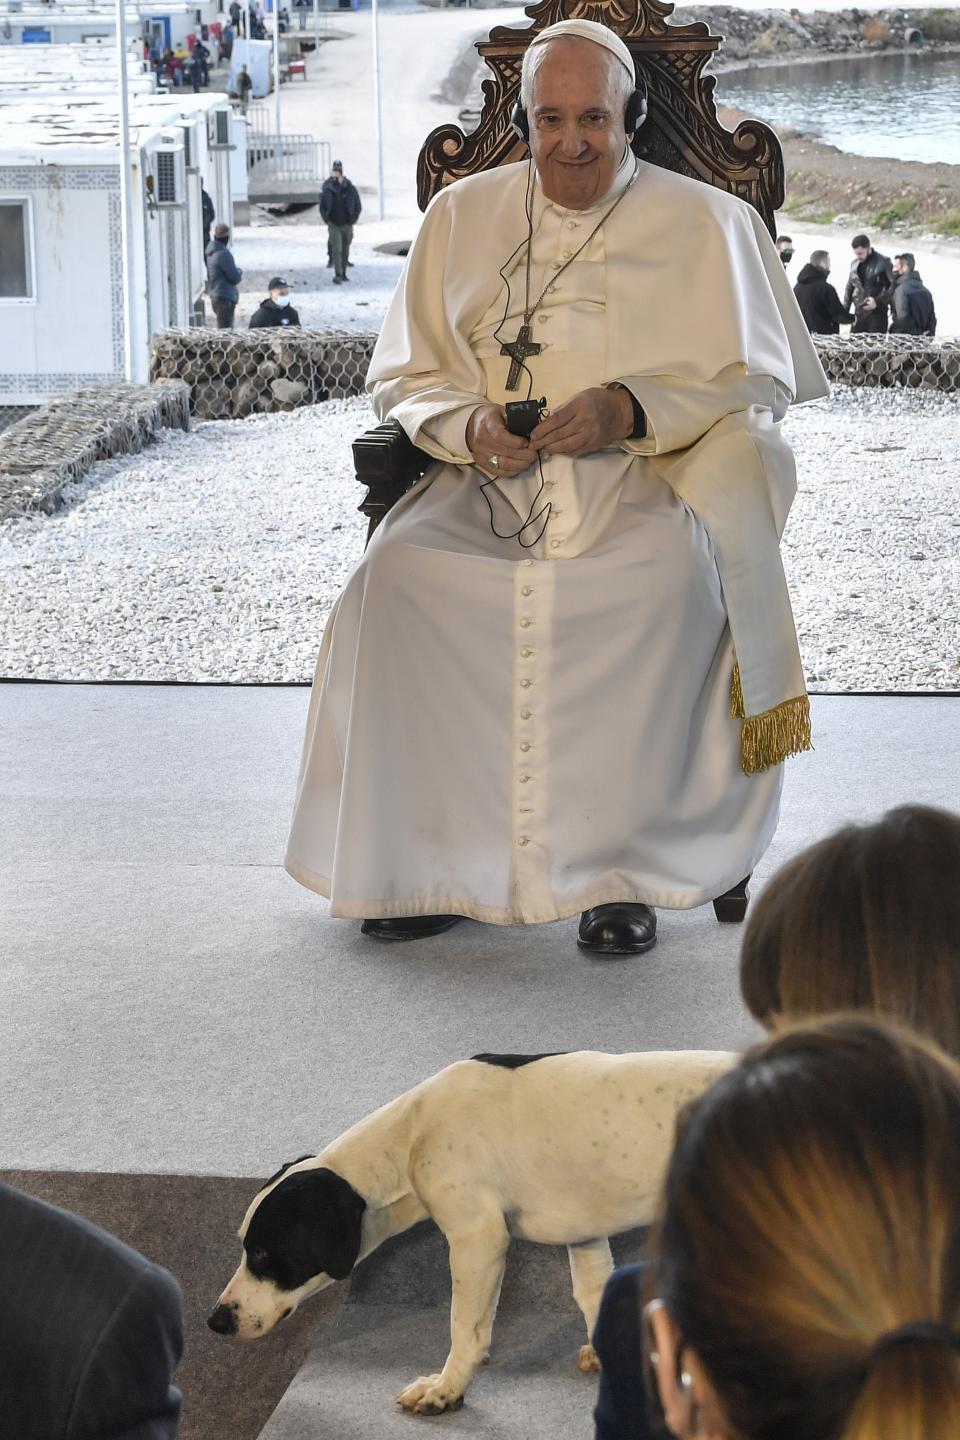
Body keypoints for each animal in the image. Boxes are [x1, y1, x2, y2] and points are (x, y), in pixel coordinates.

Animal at [210, 1054, 731, 1411]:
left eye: (264, 1254)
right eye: (245, 1248)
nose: (215, 1321)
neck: (411, 1133)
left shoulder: (477, 1240)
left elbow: (465, 1327)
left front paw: (447, 1389)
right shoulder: (584, 1233)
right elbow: (591, 1294)